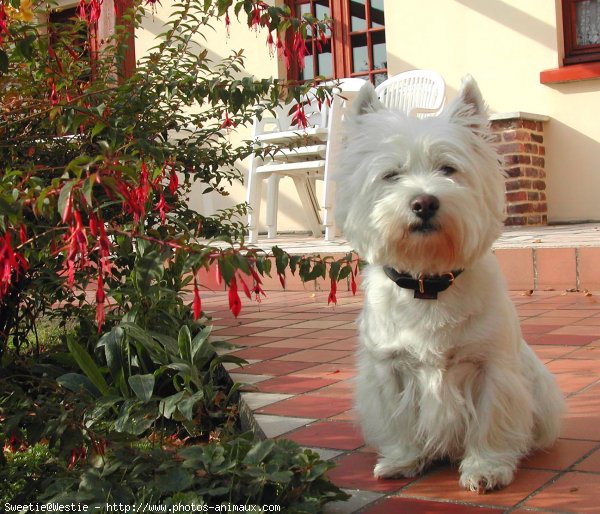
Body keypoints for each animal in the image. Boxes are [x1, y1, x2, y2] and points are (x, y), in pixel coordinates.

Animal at [336, 76, 564, 492]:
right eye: (391, 175)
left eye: (448, 169)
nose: (424, 203)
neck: (429, 281)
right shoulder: (390, 370)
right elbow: (398, 419)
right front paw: (402, 460)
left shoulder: (492, 369)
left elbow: (491, 421)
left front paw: (487, 468)